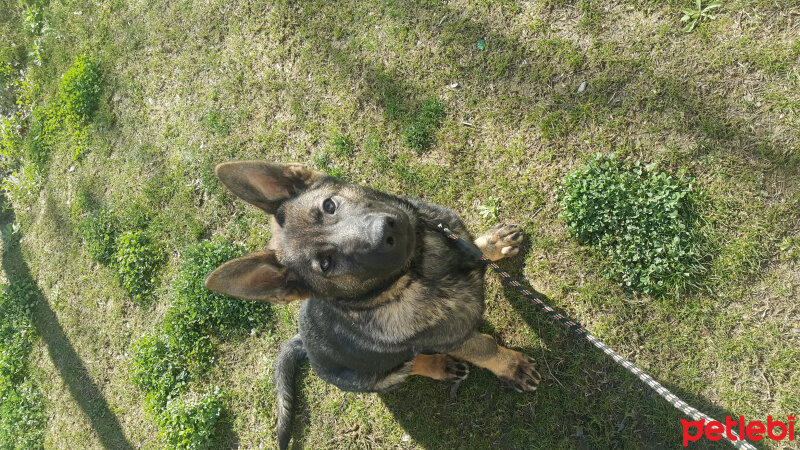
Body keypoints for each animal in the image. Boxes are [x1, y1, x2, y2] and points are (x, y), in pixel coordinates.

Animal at [205, 162, 544, 450]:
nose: (385, 231)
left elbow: (473, 245)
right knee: (409, 366)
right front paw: (511, 366)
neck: (419, 268)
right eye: (325, 264)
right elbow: (485, 348)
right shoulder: (455, 337)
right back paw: (440, 366)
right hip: (376, 377)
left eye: (329, 205)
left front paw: (493, 244)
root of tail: (303, 344)